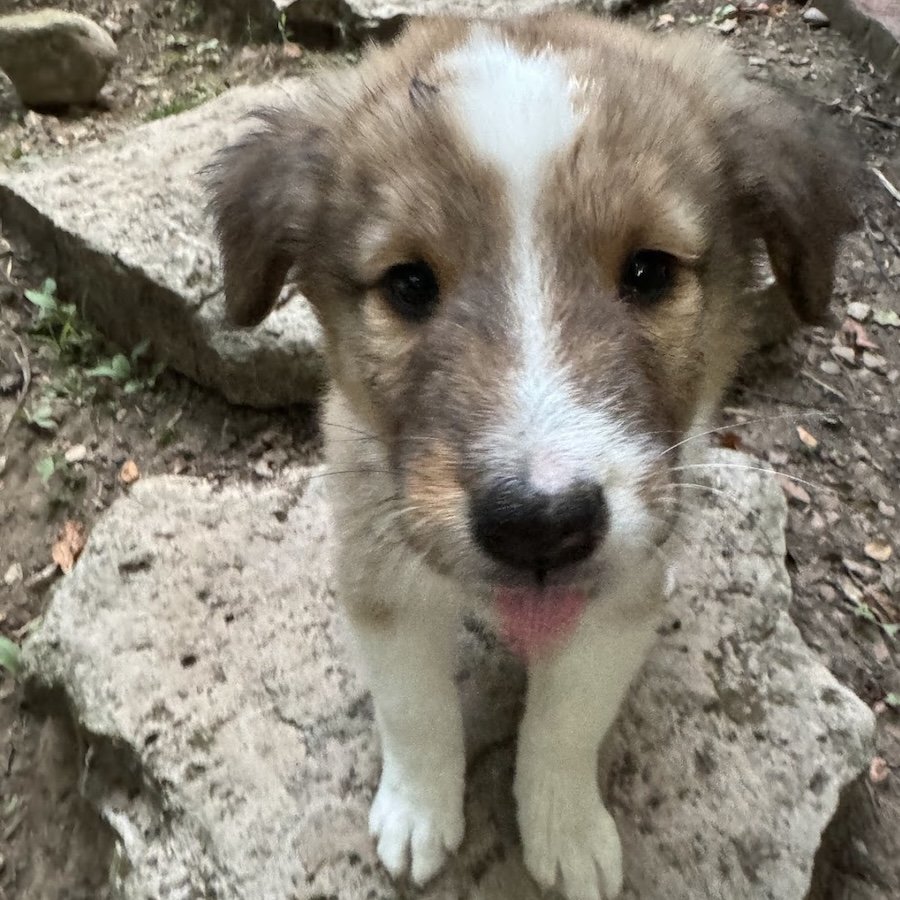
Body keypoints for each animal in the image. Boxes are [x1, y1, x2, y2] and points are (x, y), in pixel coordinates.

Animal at [206, 15, 856, 900]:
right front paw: (419, 812)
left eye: (649, 271)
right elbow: (414, 709)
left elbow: (568, 720)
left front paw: (565, 827)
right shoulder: (380, 571)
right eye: (409, 284)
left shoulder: (618, 590)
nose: (541, 526)